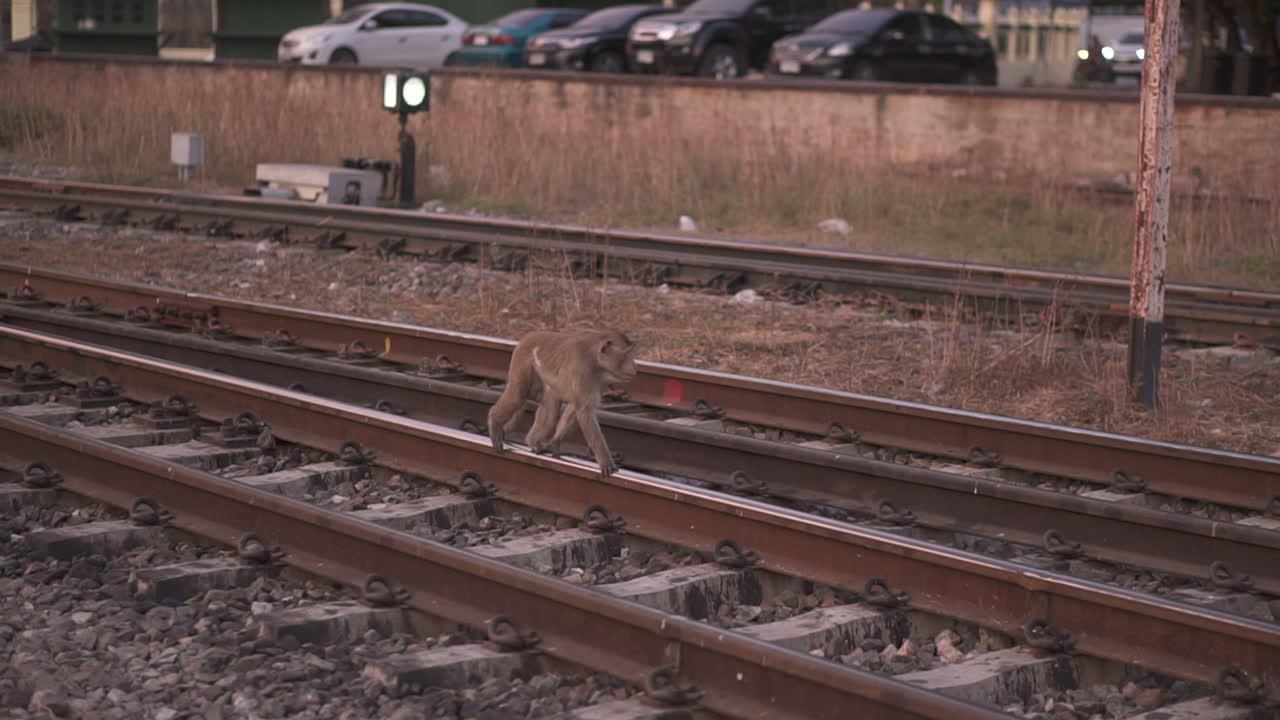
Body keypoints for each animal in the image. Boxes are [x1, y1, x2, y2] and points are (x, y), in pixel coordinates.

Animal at [487, 329, 638, 478]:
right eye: (627, 353)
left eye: (631, 352)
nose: (635, 366)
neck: (596, 361)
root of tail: (527, 336)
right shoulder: (583, 371)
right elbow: (584, 411)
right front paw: (606, 462)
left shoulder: (599, 382)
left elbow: (575, 407)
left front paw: (555, 442)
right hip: (523, 361)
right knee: (518, 394)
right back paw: (495, 423)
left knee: (550, 410)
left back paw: (533, 441)